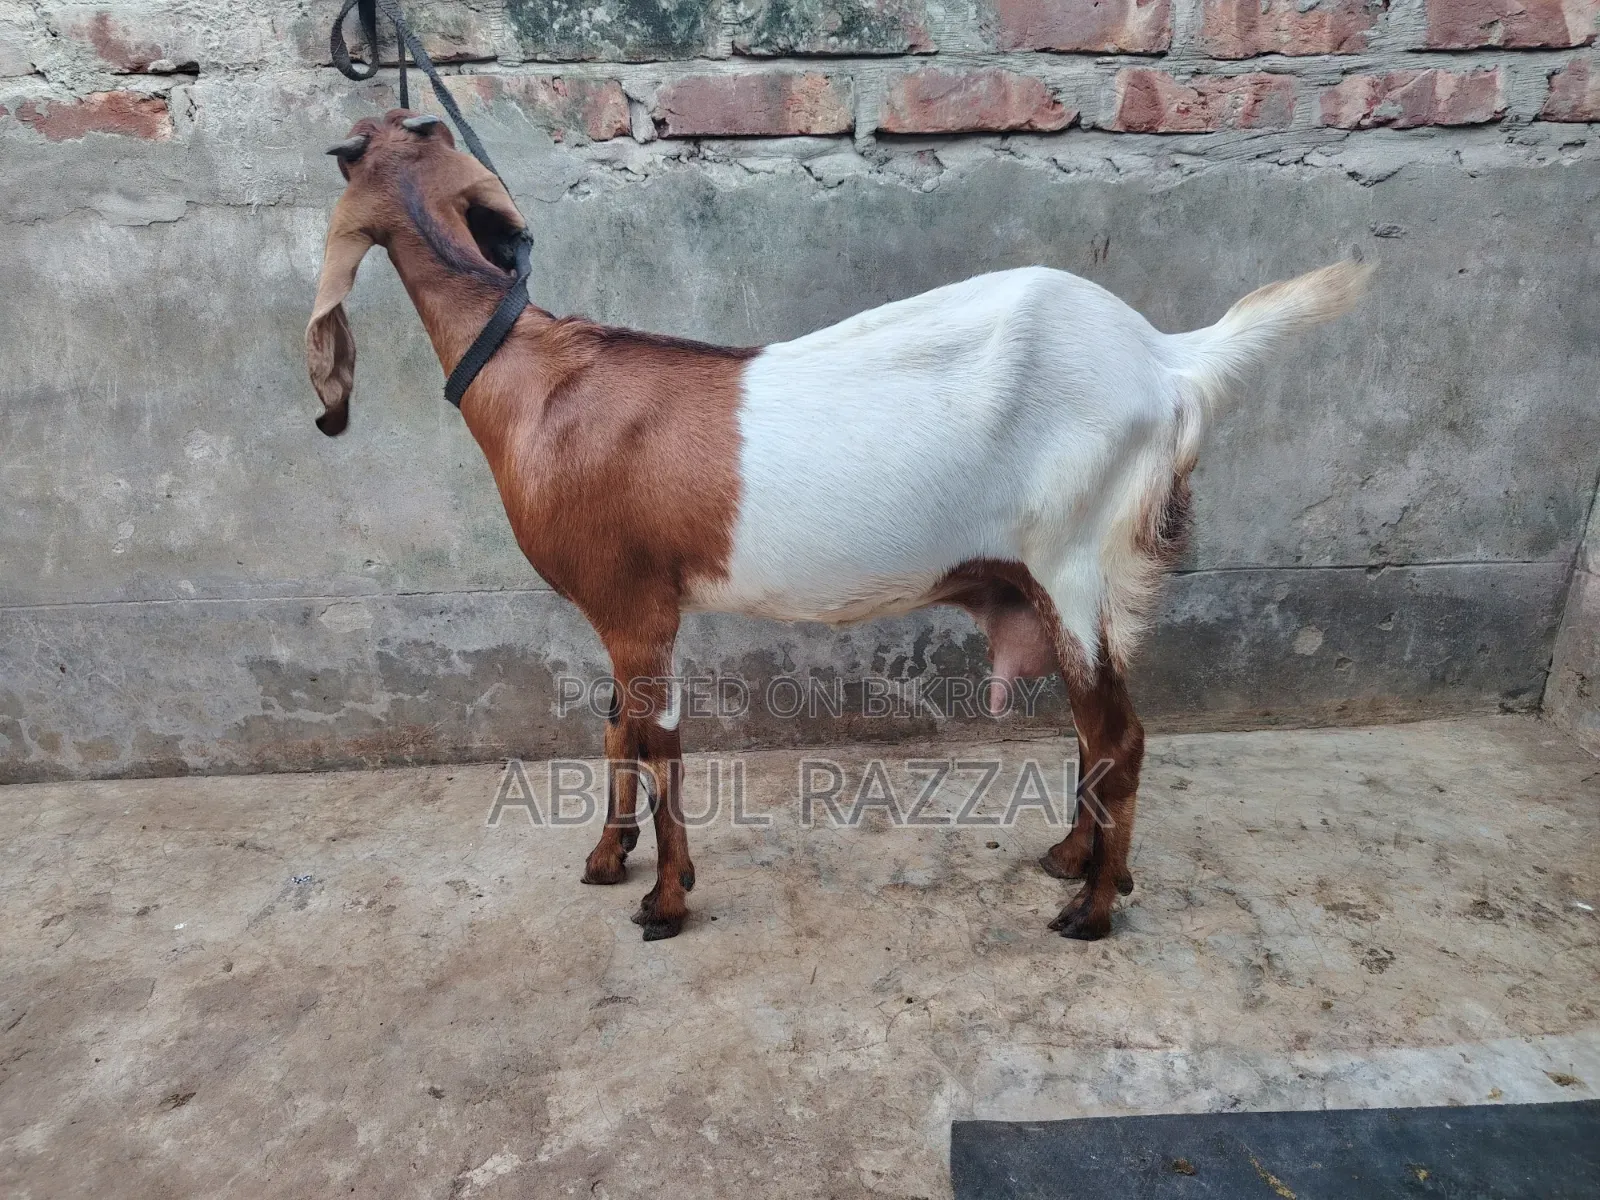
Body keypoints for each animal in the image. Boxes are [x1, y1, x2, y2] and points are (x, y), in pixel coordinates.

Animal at [307, 110, 1370, 941]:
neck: (535, 377)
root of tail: (1166, 357)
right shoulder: (627, 610)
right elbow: (614, 728)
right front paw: (611, 860)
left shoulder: (633, 604)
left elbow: (656, 742)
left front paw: (666, 900)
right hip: (1067, 582)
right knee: (1094, 728)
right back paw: (1073, 857)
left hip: (1077, 557)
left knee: (1126, 734)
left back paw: (1092, 910)